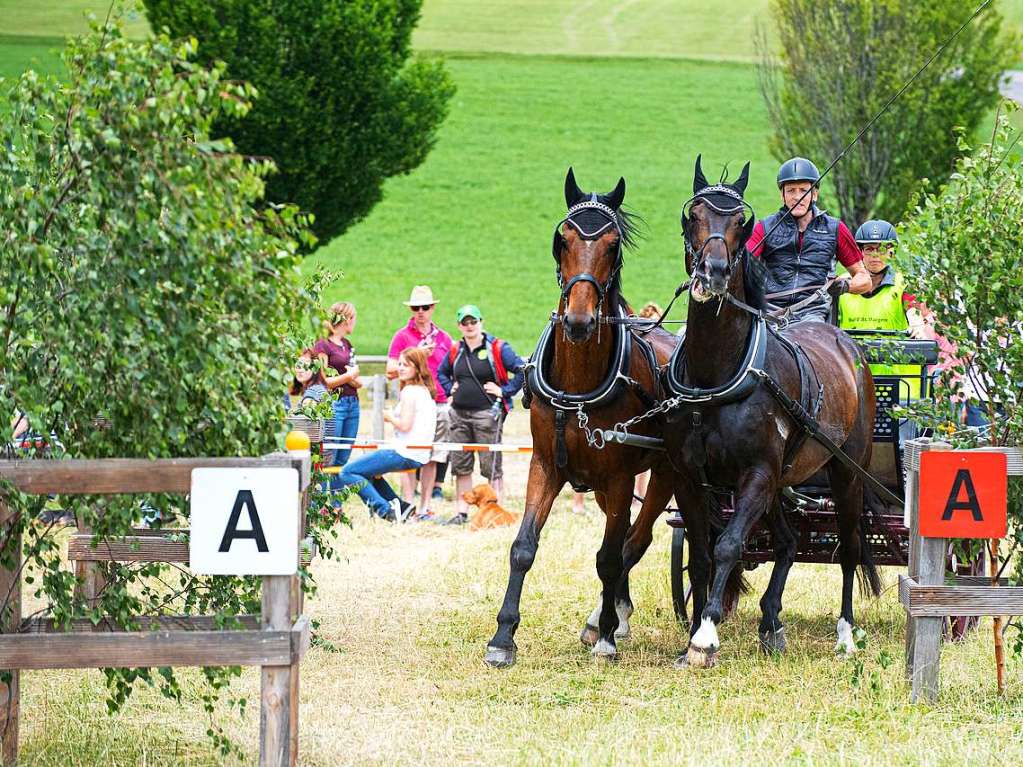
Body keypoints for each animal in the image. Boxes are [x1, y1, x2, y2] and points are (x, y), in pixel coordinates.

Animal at [484, 167, 683, 666]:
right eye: (563, 239)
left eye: (613, 245)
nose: (577, 321)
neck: (576, 386)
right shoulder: (545, 465)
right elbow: (523, 547)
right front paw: (503, 636)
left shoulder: (619, 476)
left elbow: (609, 556)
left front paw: (607, 634)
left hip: (665, 475)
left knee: (635, 540)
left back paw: (607, 619)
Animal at [666, 159, 883, 670]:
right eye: (694, 214)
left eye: (738, 222)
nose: (713, 273)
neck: (715, 373)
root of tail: (848, 348)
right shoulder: (691, 478)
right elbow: (702, 554)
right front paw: (692, 637)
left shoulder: (757, 475)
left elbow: (728, 545)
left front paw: (705, 636)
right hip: (782, 482)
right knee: (787, 542)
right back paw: (770, 621)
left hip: (845, 472)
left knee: (849, 547)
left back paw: (846, 634)